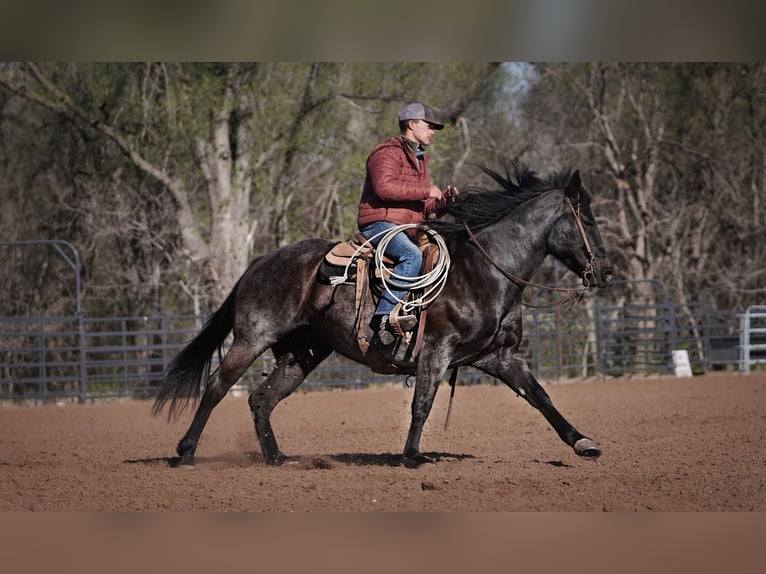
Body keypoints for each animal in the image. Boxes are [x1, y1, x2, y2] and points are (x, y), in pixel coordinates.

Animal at [153, 161, 616, 468]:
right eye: (589, 221)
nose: (607, 272)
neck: (484, 270)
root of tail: (259, 262)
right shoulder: (437, 350)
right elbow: (422, 404)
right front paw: (412, 457)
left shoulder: (500, 357)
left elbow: (540, 397)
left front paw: (583, 443)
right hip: (252, 338)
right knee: (217, 387)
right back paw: (186, 452)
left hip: (300, 354)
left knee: (261, 398)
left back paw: (278, 457)